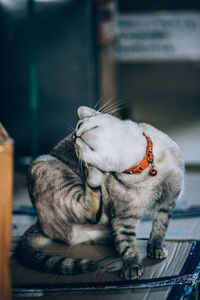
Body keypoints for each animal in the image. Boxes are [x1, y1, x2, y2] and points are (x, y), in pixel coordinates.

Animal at [14, 105, 184, 278]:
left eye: (79, 124)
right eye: (74, 139)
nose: (74, 135)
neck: (144, 166)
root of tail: (38, 223)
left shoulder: (168, 202)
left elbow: (160, 227)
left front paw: (155, 248)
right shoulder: (123, 218)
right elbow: (128, 245)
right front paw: (131, 266)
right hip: (47, 167)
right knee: (89, 210)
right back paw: (93, 174)